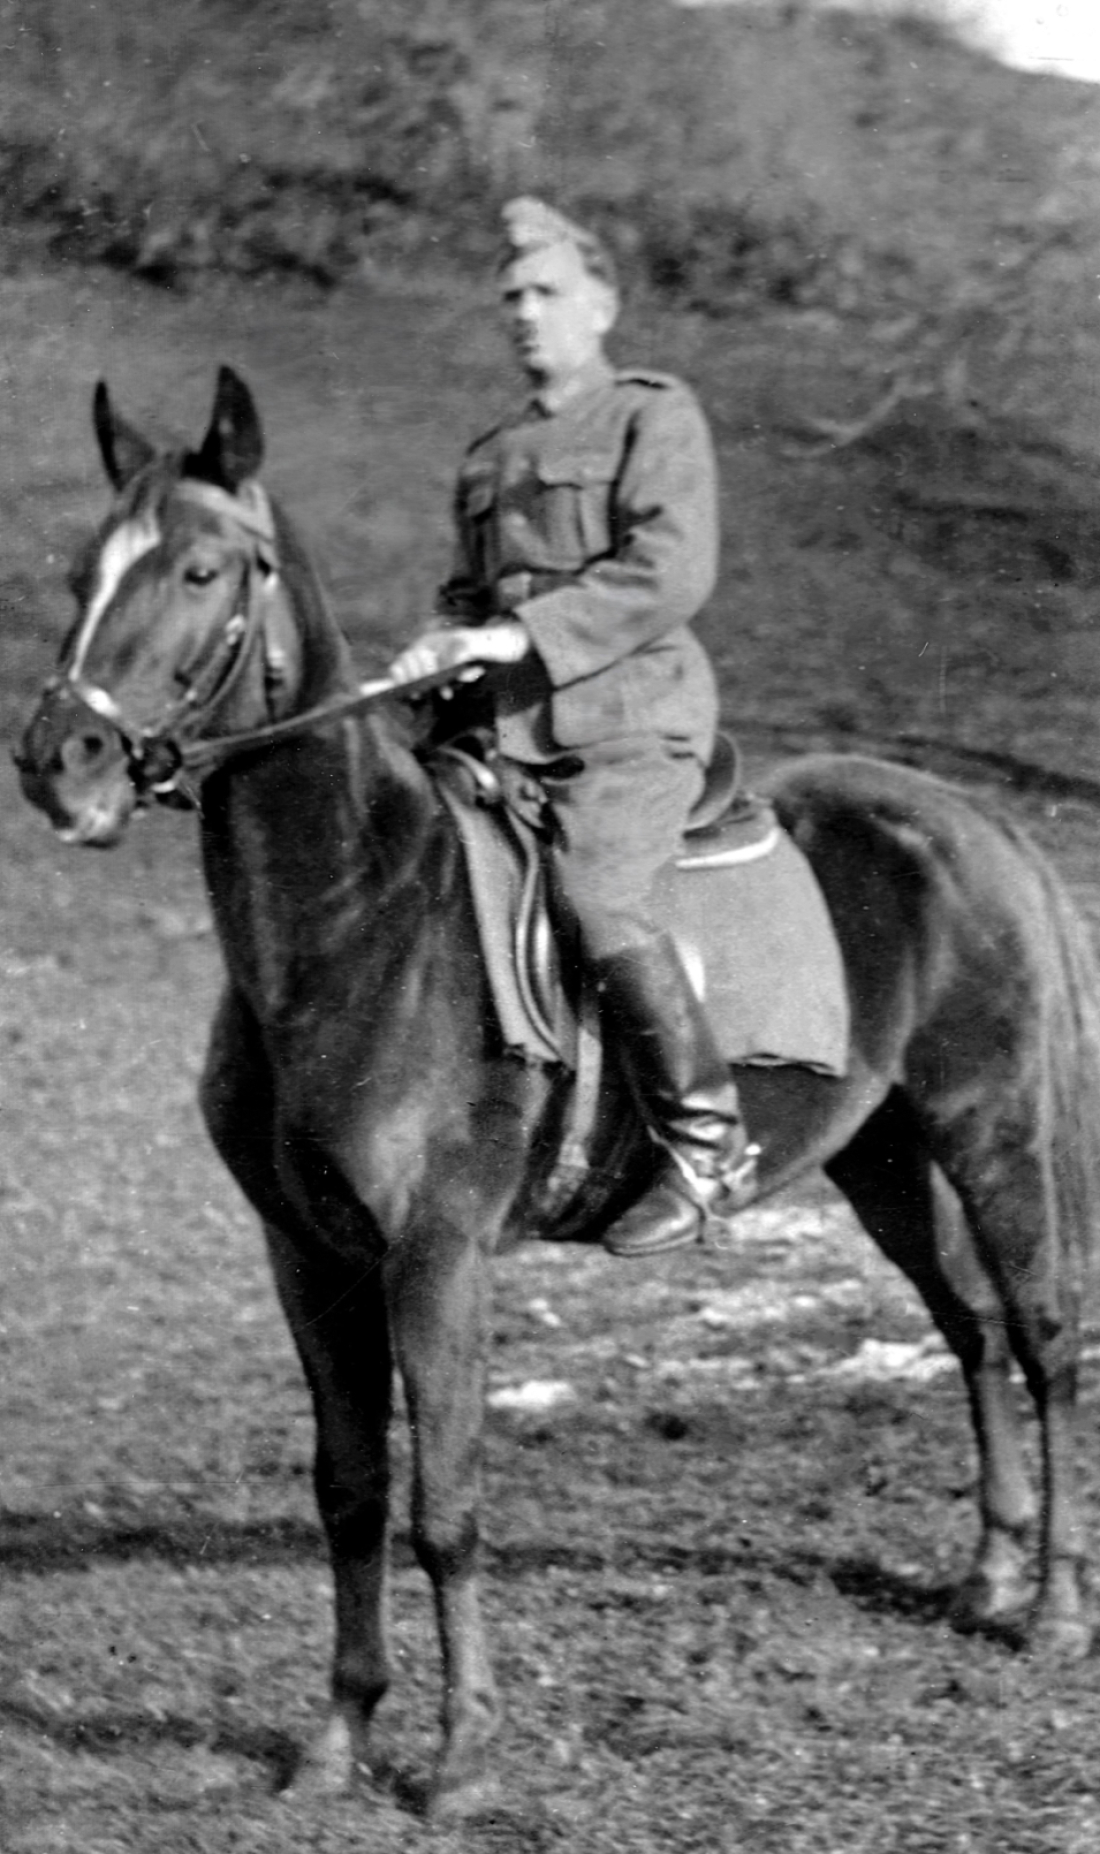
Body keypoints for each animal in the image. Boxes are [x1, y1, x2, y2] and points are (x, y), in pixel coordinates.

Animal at [16, 366, 1100, 1819]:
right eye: (86, 569)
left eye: (198, 570)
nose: (59, 760)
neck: (357, 920)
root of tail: (975, 822)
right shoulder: (307, 1257)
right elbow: (350, 1492)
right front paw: (336, 1740)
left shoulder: (435, 1256)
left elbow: (445, 1506)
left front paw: (463, 1756)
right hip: (880, 1157)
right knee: (970, 1330)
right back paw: (984, 1577)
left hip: (993, 1131)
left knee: (1040, 1339)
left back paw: (1051, 1609)